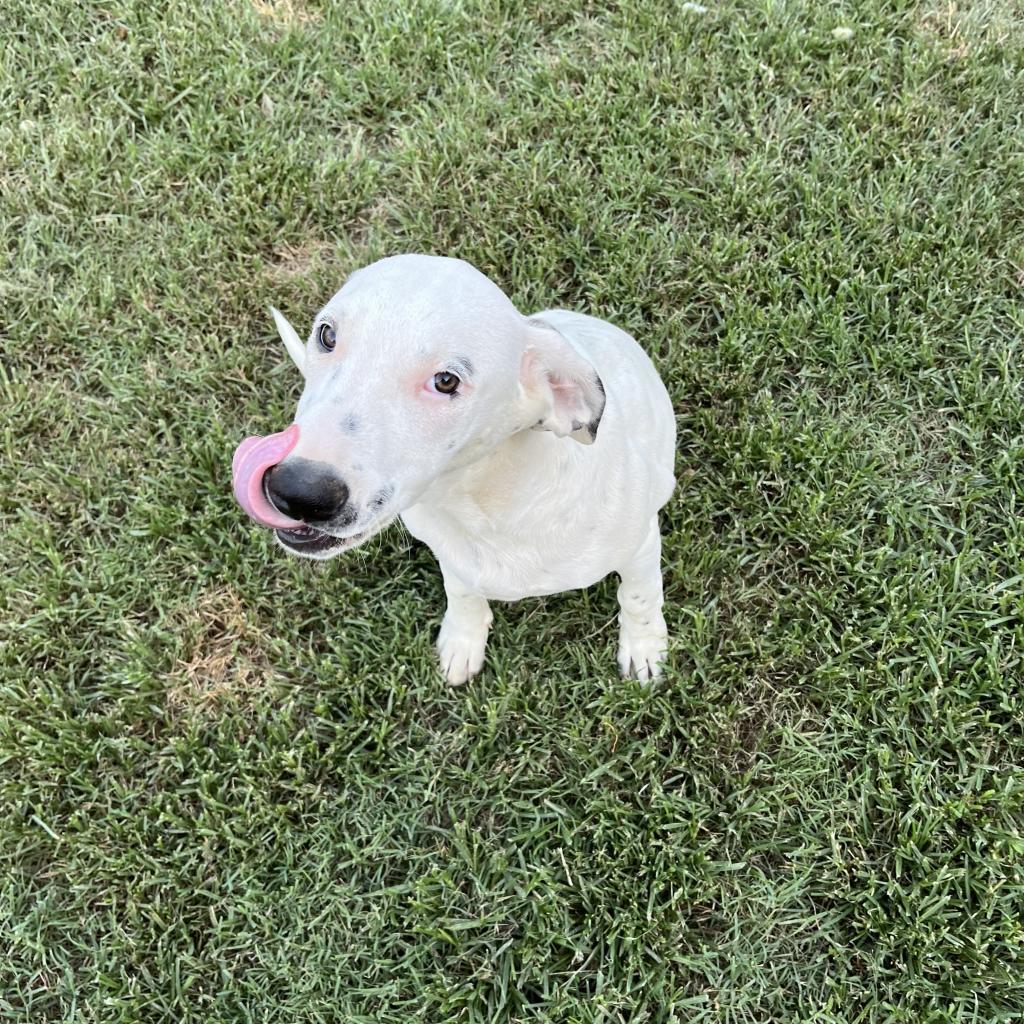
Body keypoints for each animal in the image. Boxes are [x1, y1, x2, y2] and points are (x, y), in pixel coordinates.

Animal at [234, 252, 675, 684]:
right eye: (327, 335)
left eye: (446, 381)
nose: (296, 491)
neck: (483, 503)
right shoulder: (453, 557)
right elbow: (463, 594)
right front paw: (463, 640)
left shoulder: (640, 547)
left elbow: (638, 597)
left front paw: (644, 649)